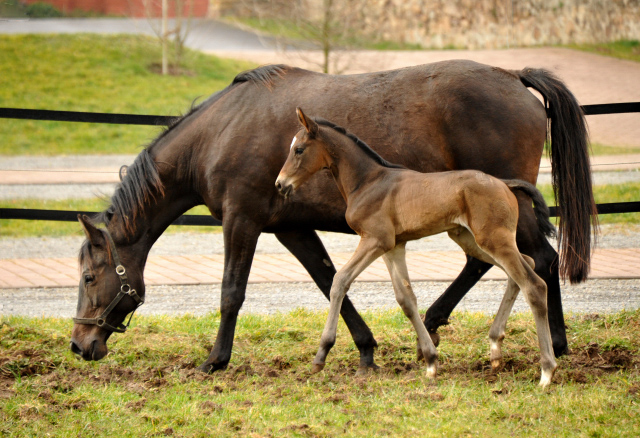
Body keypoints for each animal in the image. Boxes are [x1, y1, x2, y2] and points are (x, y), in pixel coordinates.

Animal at [278, 108, 556, 386]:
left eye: (299, 149)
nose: (280, 184)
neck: (367, 182)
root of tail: (505, 184)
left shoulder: (374, 240)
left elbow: (340, 281)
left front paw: (321, 355)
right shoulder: (393, 246)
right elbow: (406, 299)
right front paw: (431, 361)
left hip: (493, 239)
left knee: (534, 284)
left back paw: (546, 370)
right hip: (472, 240)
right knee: (525, 267)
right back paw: (496, 347)